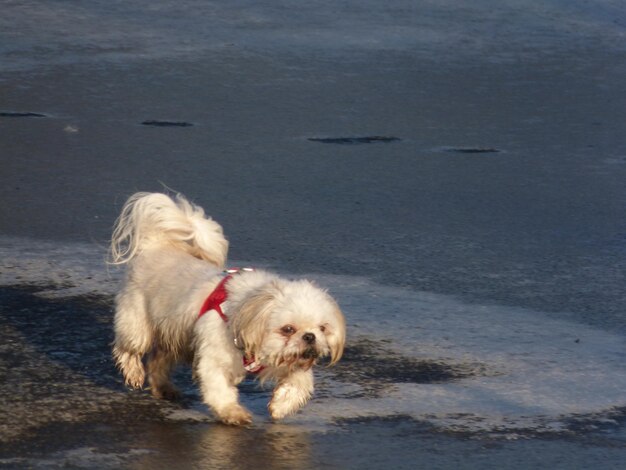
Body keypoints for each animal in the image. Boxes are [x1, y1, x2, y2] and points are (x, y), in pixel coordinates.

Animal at [111, 193, 346, 424]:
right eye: (287, 329)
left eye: (322, 328)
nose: (309, 337)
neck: (243, 313)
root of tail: (156, 245)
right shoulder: (215, 360)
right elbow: (220, 390)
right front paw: (233, 413)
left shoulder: (287, 360)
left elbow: (300, 382)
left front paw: (282, 405)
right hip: (137, 326)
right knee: (128, 349)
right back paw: (134, 372)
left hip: (175, 335)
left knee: (157, 360)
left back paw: (164, 388)